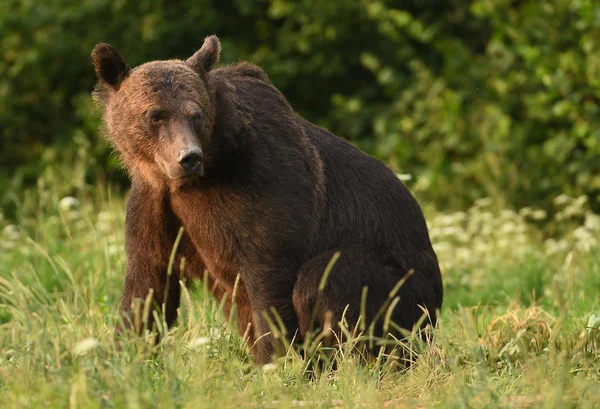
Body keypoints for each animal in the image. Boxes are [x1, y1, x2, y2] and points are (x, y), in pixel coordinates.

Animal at [91, 34, 442, 360]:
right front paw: (125, 355)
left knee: (325, 277)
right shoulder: (156, 205)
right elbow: (147, 284)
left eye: (196, 114)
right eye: (156, 115)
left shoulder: (261, 187)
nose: (188, 157)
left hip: (402, 282)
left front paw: (275, 361)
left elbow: (269, 276)